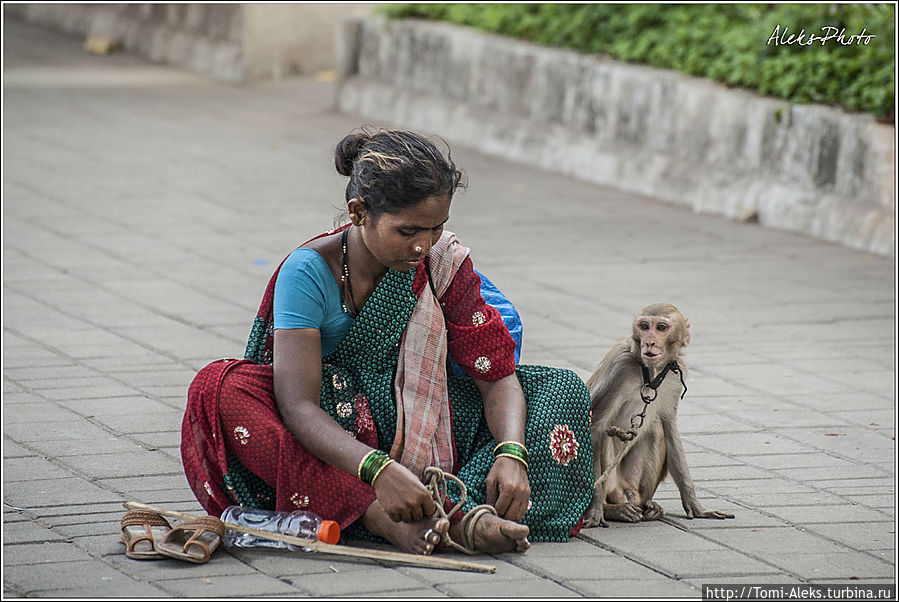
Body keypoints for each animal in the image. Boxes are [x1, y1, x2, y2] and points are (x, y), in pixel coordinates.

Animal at [580, 300, 736, 524]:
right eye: (644, 326)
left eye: (661, 328)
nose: (650, 343)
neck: (649, 374)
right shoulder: (619, 369)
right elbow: (595, 428)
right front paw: (594, 511)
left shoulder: (675, 377)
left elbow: (670, 429)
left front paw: (696, 507)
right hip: (611, 483)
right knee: (605, 435)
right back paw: (612, 509)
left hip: (631, 484)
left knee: (655, 429)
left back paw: (649, 506)